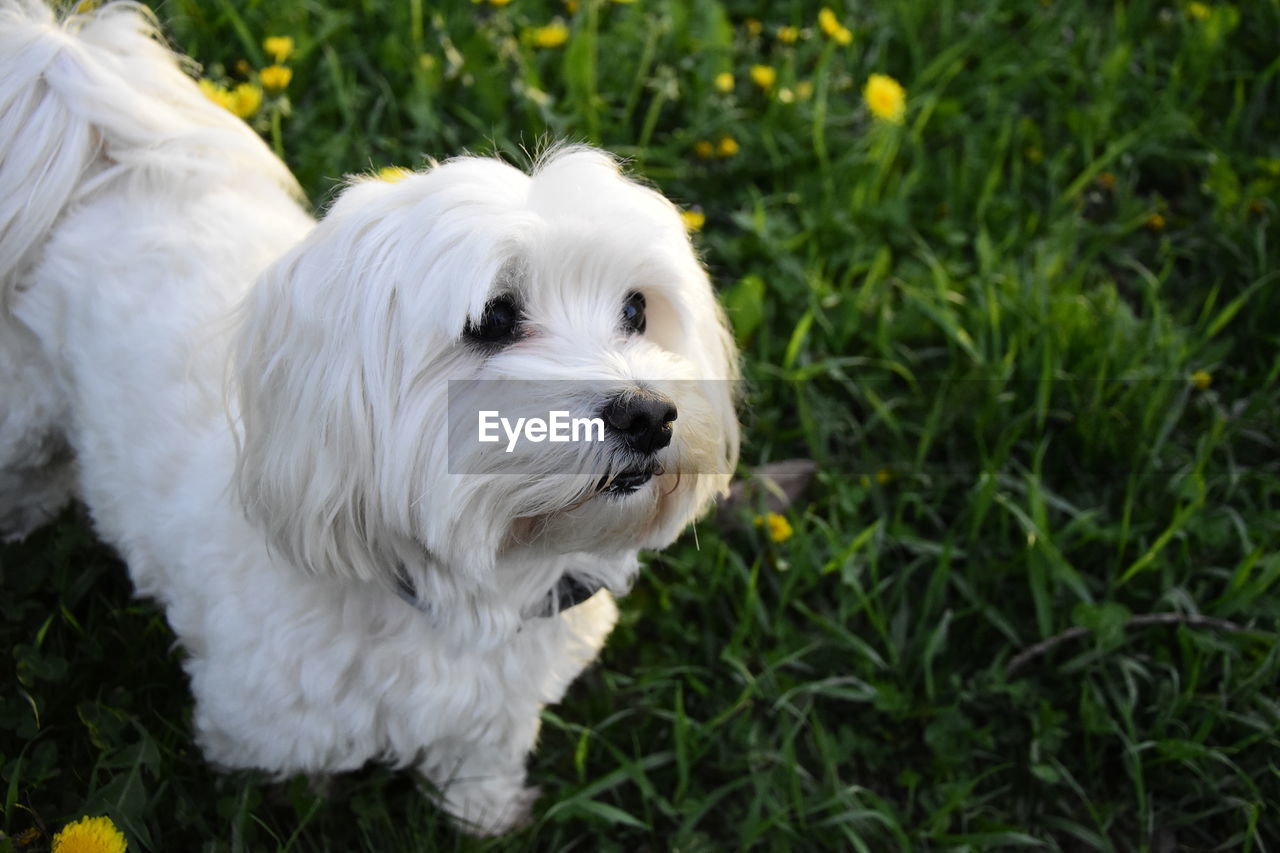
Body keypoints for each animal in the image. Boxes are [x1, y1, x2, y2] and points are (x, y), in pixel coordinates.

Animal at [0, 0, 742, 835]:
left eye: (638, 308)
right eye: (494, 317)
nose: (648, 414)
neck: (468, 583)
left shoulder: (499, 701)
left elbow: (481, 752)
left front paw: (483, 811)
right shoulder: (266, 719)